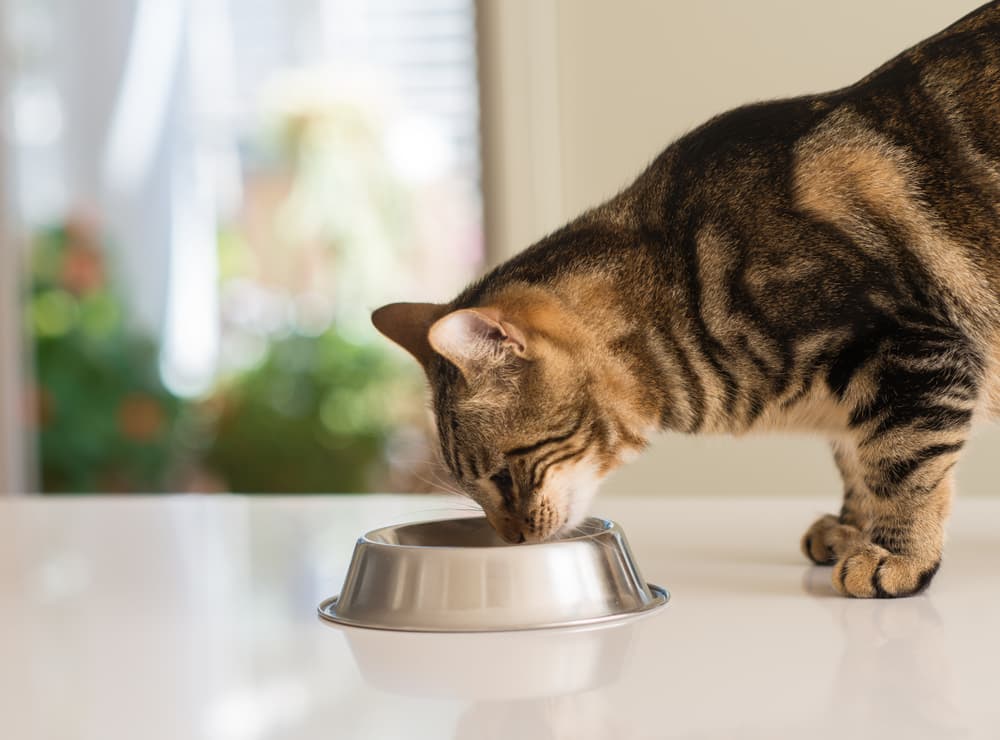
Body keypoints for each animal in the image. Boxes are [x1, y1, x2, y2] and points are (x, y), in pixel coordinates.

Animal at [374, 1, 1000, 600]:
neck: (677, 282)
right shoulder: (870, 389)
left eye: (504, 474)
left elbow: (902, 464)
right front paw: (851, 529)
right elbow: (855, 459)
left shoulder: (909, 350)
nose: (513, 540)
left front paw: (895, 555)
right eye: (475, 487)